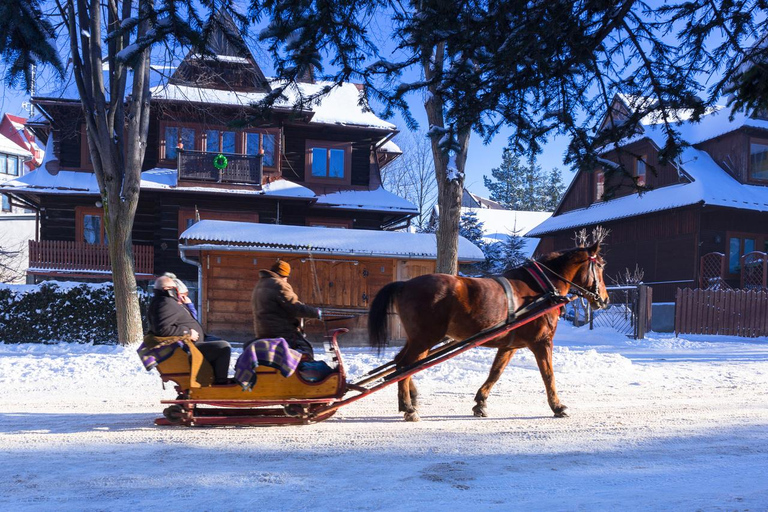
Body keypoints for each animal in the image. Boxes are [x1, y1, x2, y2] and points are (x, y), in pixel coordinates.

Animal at [368, 242, 608, 422]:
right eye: (600, 266)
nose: (604, 299)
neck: (540, 289)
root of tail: (404, 284)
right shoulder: (542, 342)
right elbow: (548, 375)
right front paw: (557, 406)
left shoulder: (509, 345)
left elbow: (495, 372)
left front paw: (480, 403)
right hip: (425, 339)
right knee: (404, 366)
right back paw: (408, 407)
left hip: (418, 339)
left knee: (400, 363)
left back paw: (412, 398)